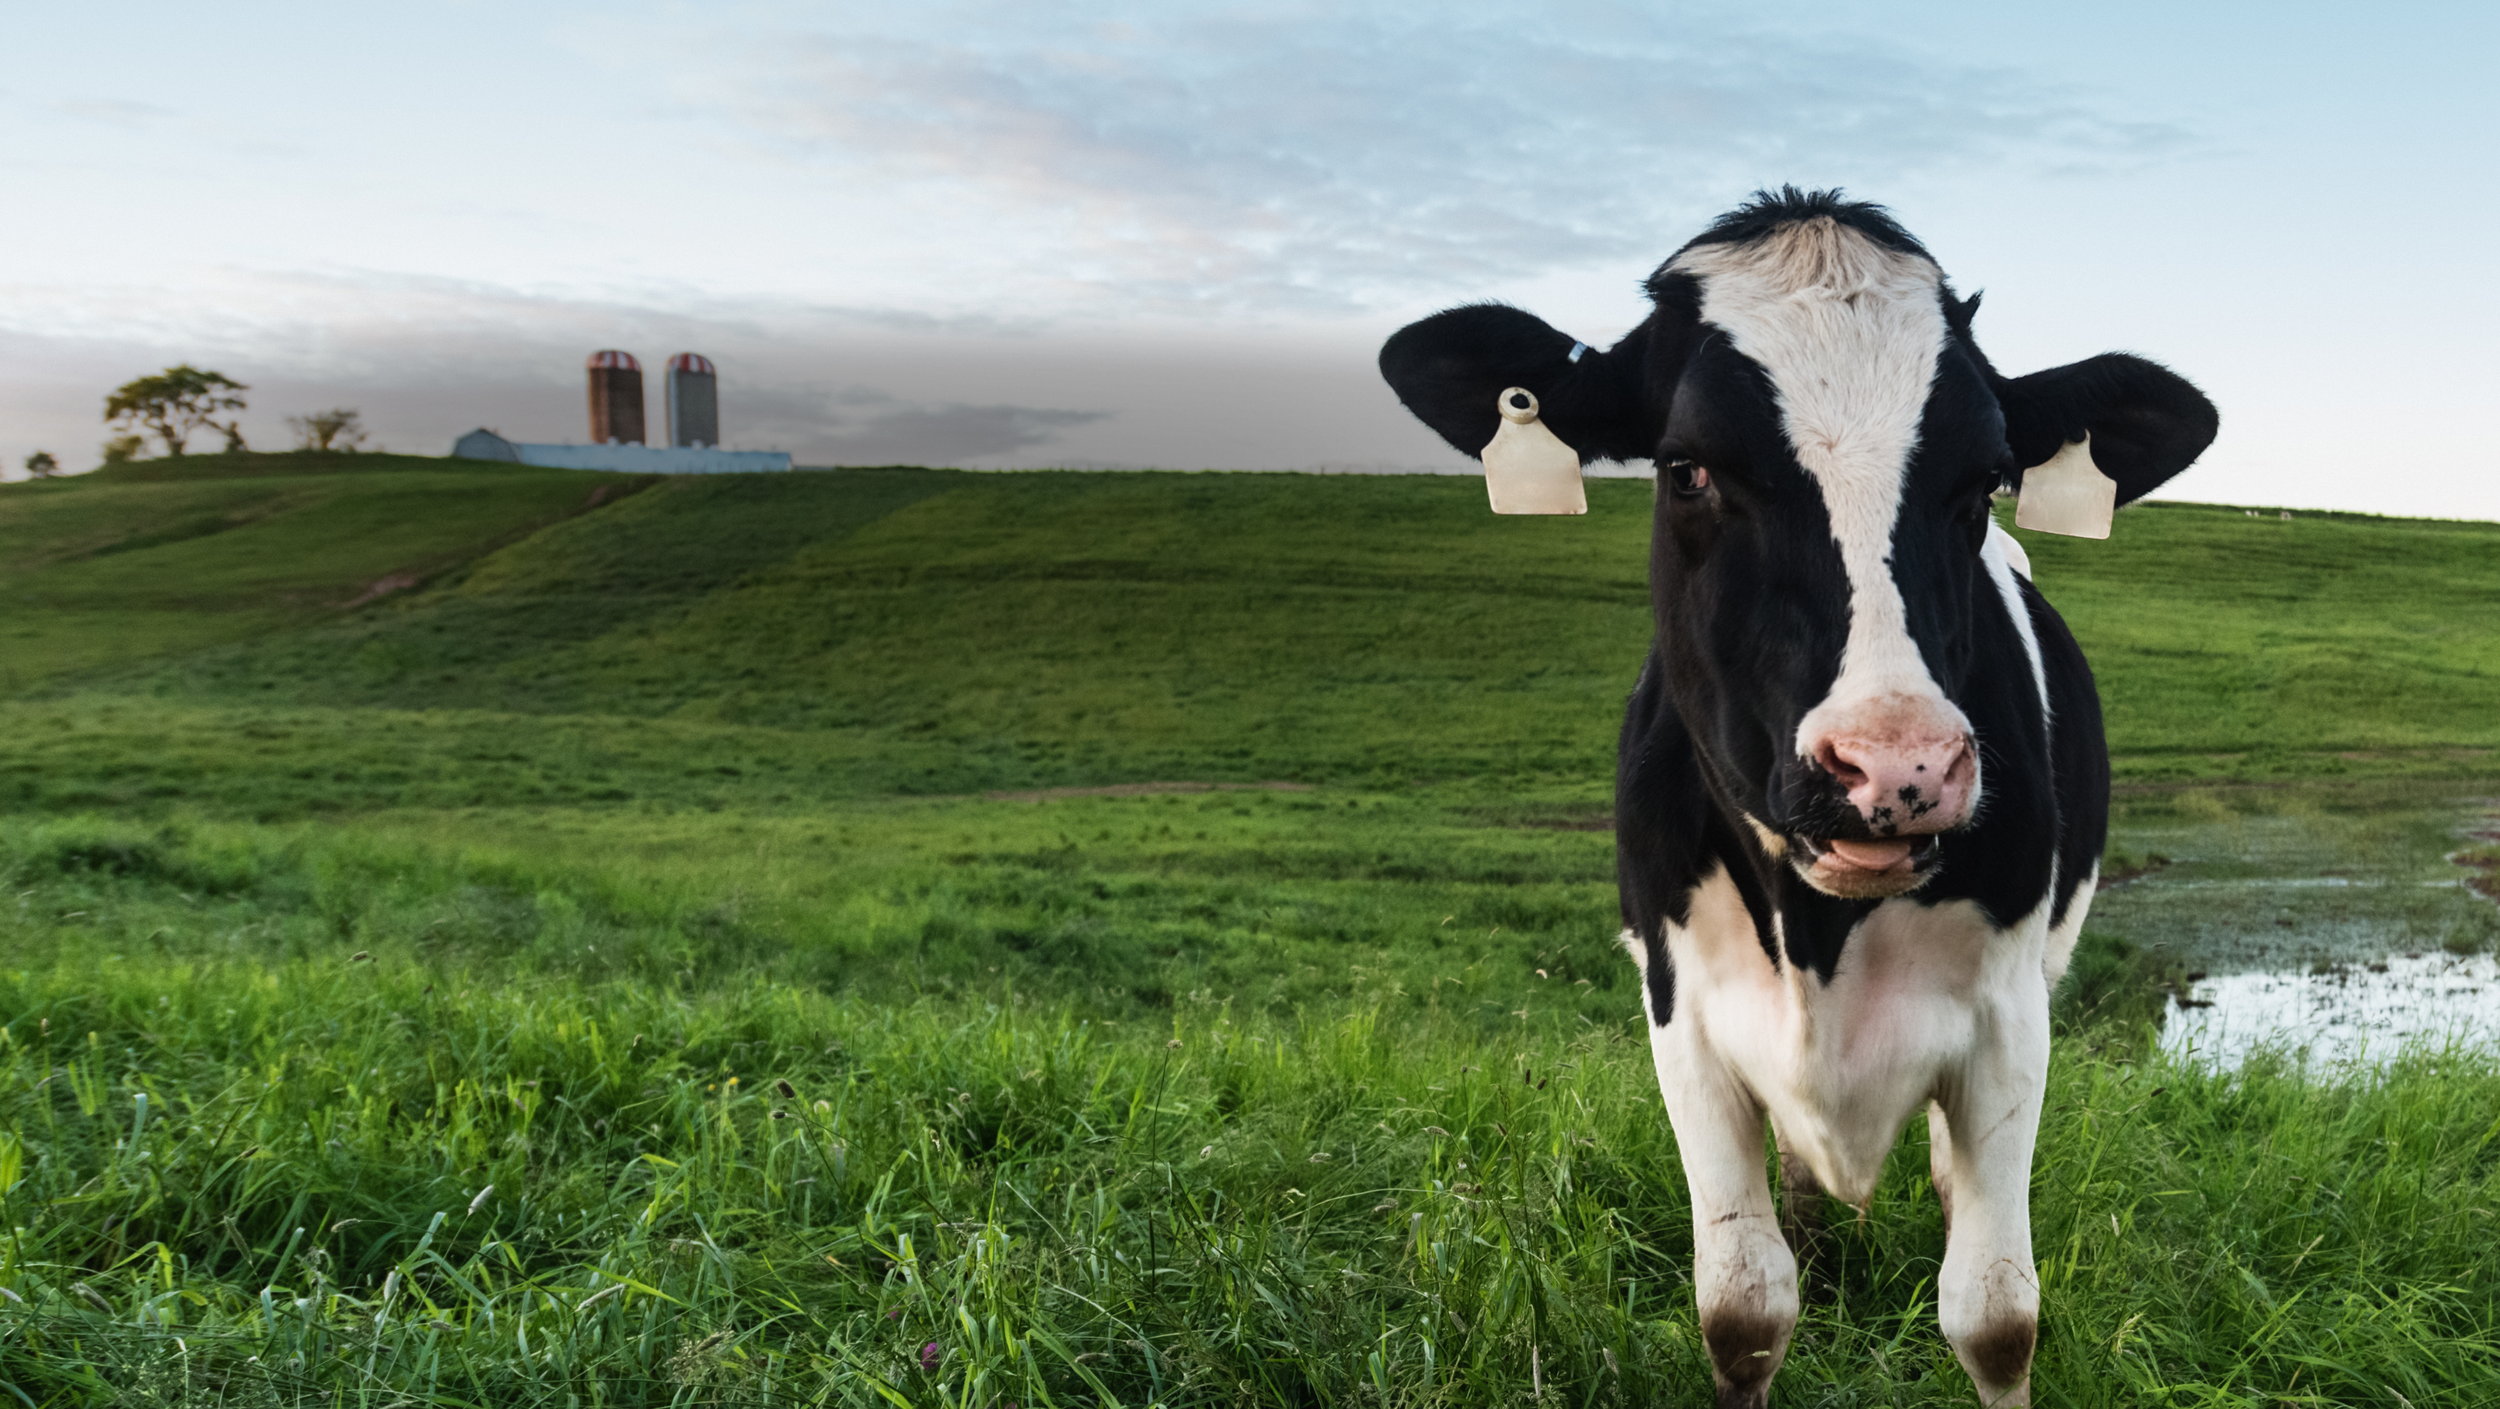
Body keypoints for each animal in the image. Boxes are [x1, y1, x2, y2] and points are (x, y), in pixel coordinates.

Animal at [1379, 188, 2216, 1407]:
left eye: (1983, 479)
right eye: (1686, 469)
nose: (1897, 770)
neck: (1825, 928)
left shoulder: (2013, 1015)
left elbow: (1995, 1312)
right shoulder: (1681, 1013)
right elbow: (1741, 1305)